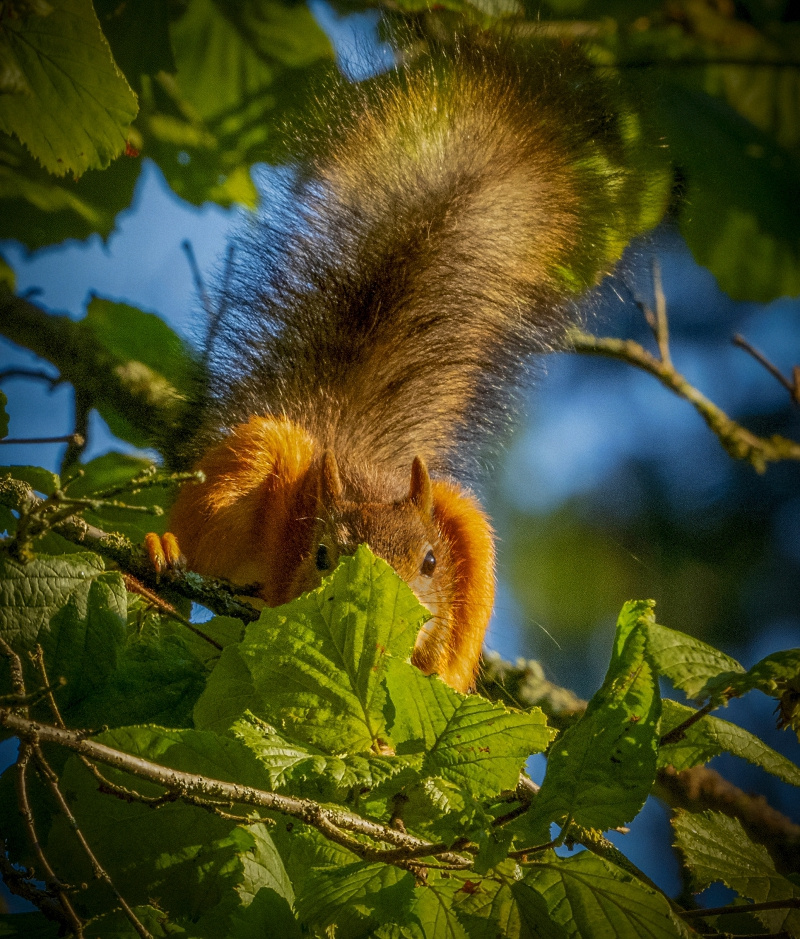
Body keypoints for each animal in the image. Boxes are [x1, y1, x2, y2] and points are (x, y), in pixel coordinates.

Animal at [151, 41, 661, 694]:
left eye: (431, 561)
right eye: (323, 556)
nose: (385, 620)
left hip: (464, 521)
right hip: (257, 458)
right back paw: (164, 549)